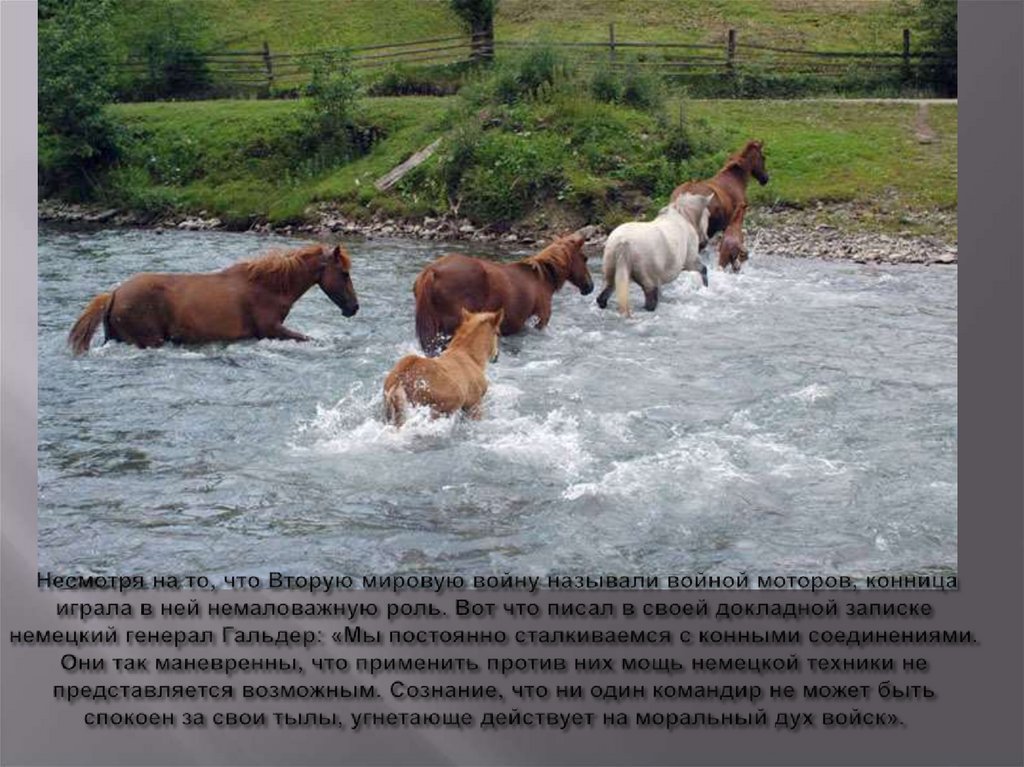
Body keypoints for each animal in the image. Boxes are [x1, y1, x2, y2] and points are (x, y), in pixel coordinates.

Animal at [67, 243, 356, 354]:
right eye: (344, 273)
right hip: (149, 339)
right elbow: (309, 339)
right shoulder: (271, 330)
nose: (354, 307)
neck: (267, 288)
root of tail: (114, 294)